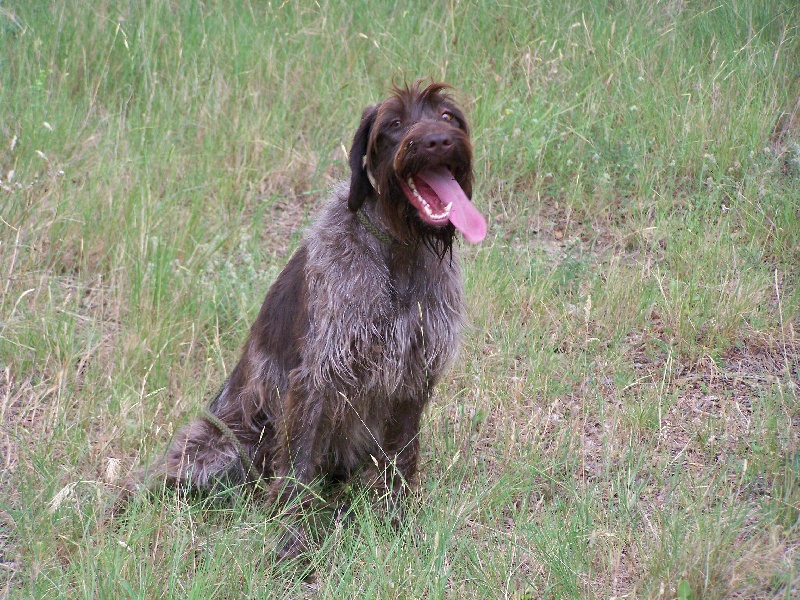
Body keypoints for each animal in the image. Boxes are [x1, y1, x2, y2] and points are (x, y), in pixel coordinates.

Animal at [138, 79, 488, 556]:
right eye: (395, 123)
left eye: (449, 117)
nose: (437, 140)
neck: (398, 252)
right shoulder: (319, 377)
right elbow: (299, 471)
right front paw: (292, 542)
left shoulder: (416, 371)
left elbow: (401, 457)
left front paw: (395, 518)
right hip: (220, 450)